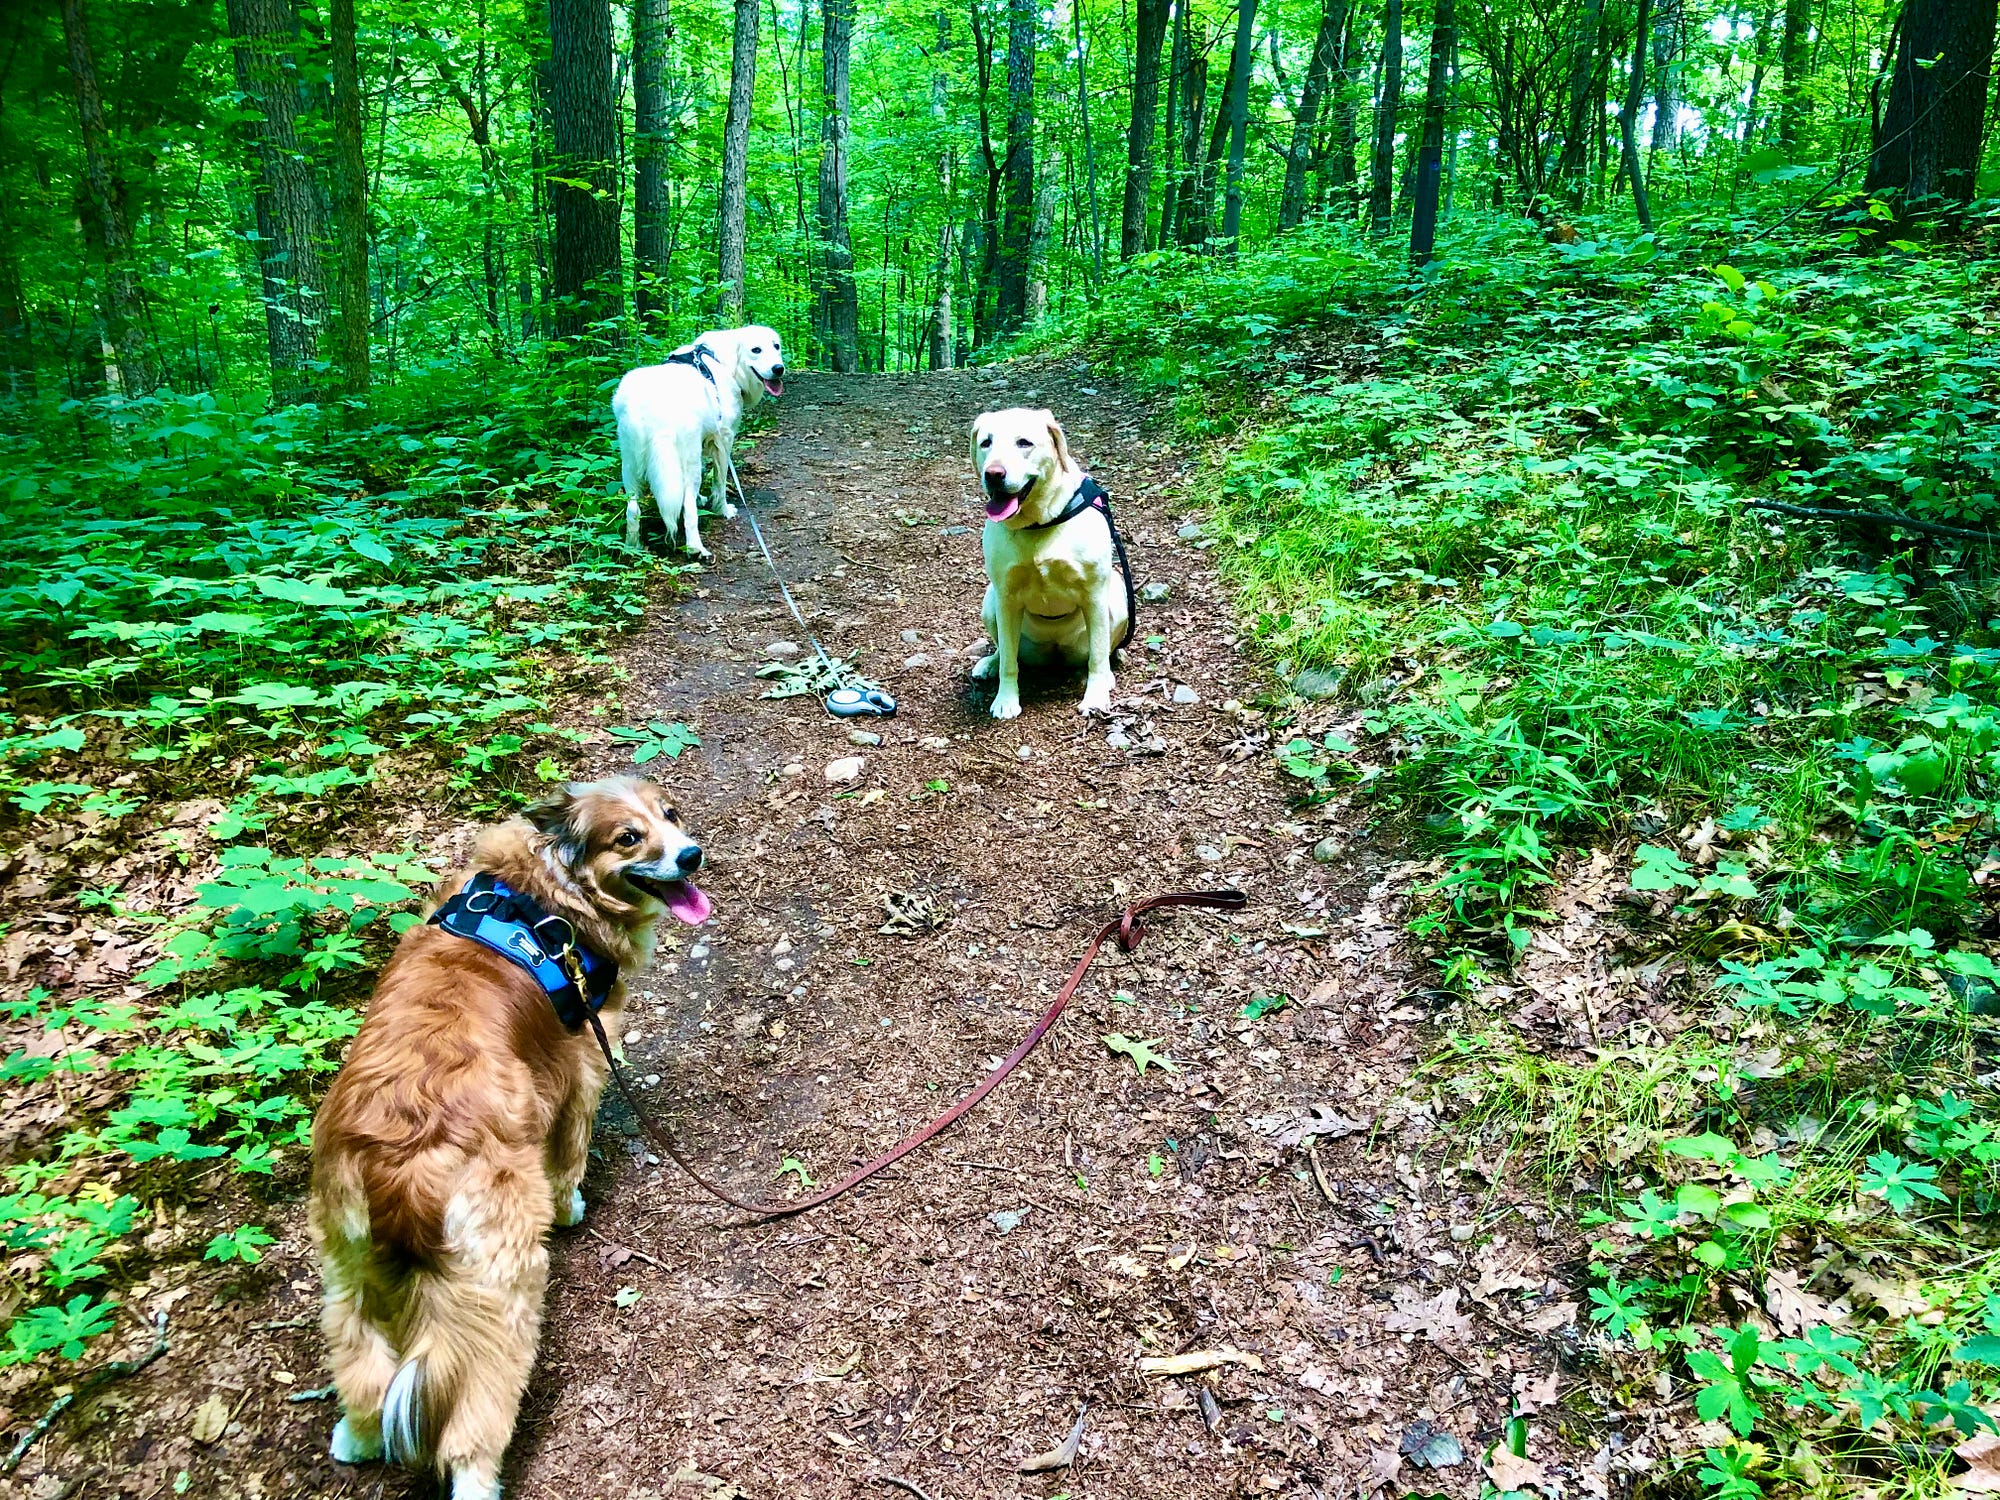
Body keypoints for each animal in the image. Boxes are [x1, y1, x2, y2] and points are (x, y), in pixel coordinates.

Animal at [308, 777, 710, 1500]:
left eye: (671, 815)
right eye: (629, 838)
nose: (691, 855)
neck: (547, 892)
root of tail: (398, 1168)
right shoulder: (581, 1062)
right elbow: (570, 1154)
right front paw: (572, 1207)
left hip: (349, 1272)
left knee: (363, 1375)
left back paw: (354, 1437)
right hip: (501, 1286)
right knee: (473, 1422)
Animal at [614, 324, 786, 557]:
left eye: (776, 346)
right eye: (756, 350)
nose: (779, 368)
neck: (725, 360)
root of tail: (656, 408)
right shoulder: (724, 439)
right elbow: (719, 482)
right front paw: (723, 509)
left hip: (629, 464)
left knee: (632, 510)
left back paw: (632, 547)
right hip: (688, 460)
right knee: (688, 510)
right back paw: (696, 548)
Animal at [969, 407, 1131, 719]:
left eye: (1024, 443)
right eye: (986, 443)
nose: (993, 474)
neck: (1037, 524)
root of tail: (1054, 649)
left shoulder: (1095, 594)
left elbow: (1097, 657)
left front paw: (1095, 696)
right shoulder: (1006, 597)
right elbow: (1009, 661)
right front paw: (1006, 699)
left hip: (1117, 595)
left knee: (1103, 650)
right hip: (990, 601)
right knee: (1005, 650)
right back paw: (990, 663)